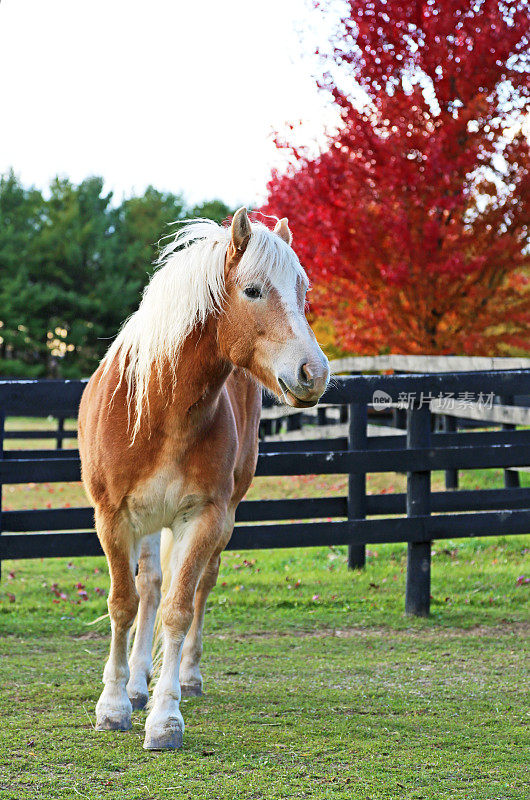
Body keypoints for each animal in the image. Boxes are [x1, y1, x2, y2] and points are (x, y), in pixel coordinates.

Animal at [77, 208, 328, 752]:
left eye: (303, 291)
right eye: (253, 290)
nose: (313, 373)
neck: (159, 408)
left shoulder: (204, 517)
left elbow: (179, 608)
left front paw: (165, 718)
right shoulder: (113, 518)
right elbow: (125, 602)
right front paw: (113, 705)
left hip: (221, 517)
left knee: (197, 588)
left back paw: (185, 678)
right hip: (148, 523)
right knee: (149, 587)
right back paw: (135, 684)